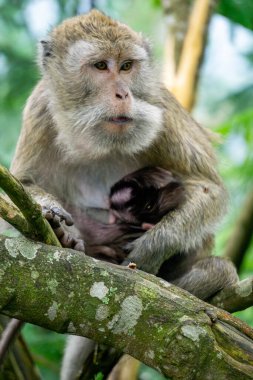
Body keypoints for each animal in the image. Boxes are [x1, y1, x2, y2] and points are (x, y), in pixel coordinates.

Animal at [6, 10, 237, 378]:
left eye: (127, 66)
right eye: (101, 66)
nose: (123, 94)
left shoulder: (159, 104)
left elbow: (207, 187)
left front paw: (150, 248)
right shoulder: (39, 107)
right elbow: (23, 186)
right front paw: (53, 218)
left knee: (218, 269)